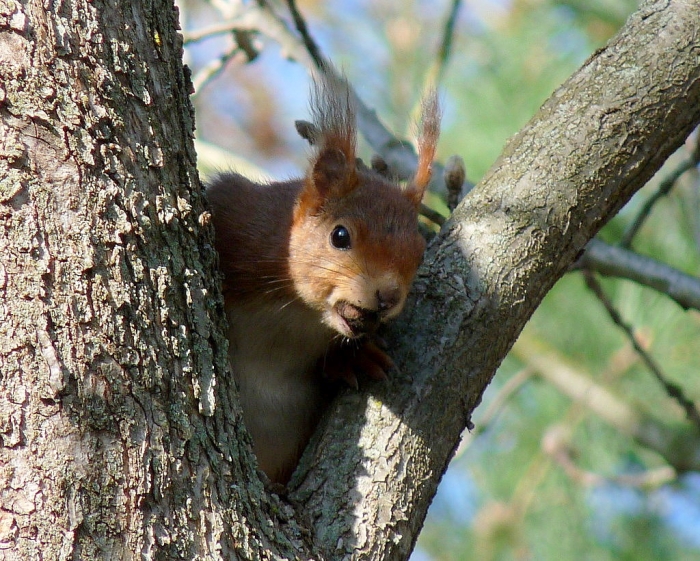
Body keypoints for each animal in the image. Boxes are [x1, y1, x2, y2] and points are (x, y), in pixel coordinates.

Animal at [206, 69, 440, 484]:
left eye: (420, 252)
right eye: (340, 236)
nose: (388, 296)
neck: (298, 316)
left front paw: (353, 359)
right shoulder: (241, 218)